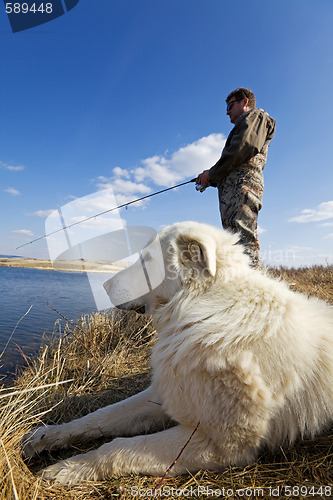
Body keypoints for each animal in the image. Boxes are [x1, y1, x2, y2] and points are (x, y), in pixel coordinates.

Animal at [24, 222, 332, 484]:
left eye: (148, 260)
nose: (103, 285)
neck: (204, 307)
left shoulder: (220, 443)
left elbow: (117, 448)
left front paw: (69, 468)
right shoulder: (166, 394)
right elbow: (100, 416)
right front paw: (46, 436)